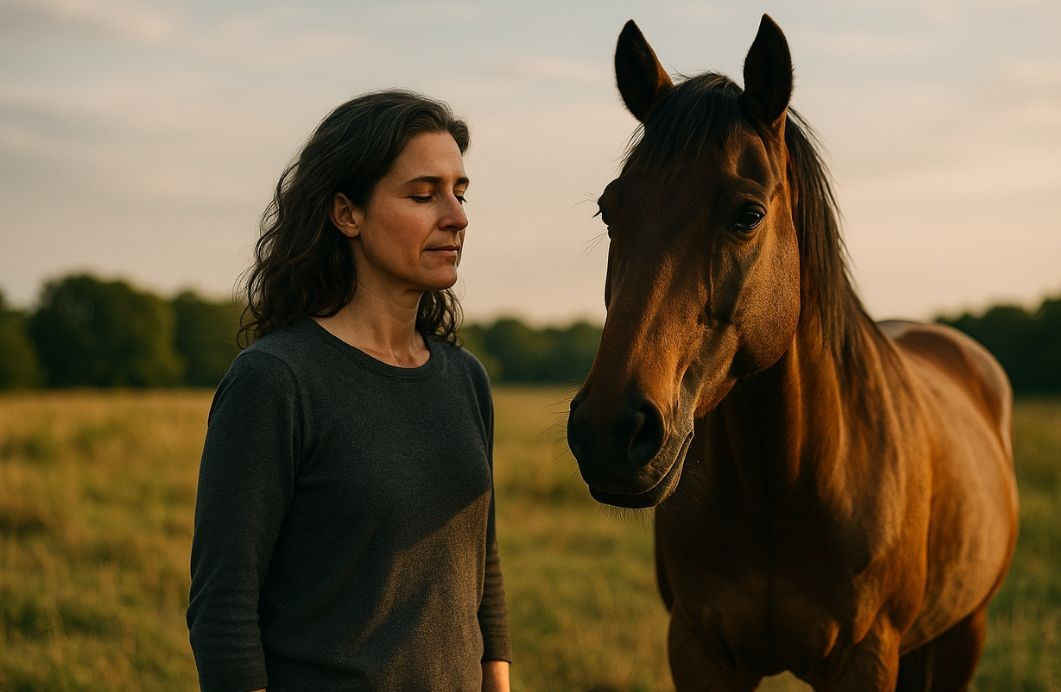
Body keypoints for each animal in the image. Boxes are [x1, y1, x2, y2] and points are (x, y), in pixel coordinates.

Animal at [566, 15, 1018, 691]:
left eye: (748, 214)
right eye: (608, 208)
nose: (608, 433)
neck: (782, 480)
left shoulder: (864, 657)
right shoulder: (698, 649)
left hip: (966, 632)